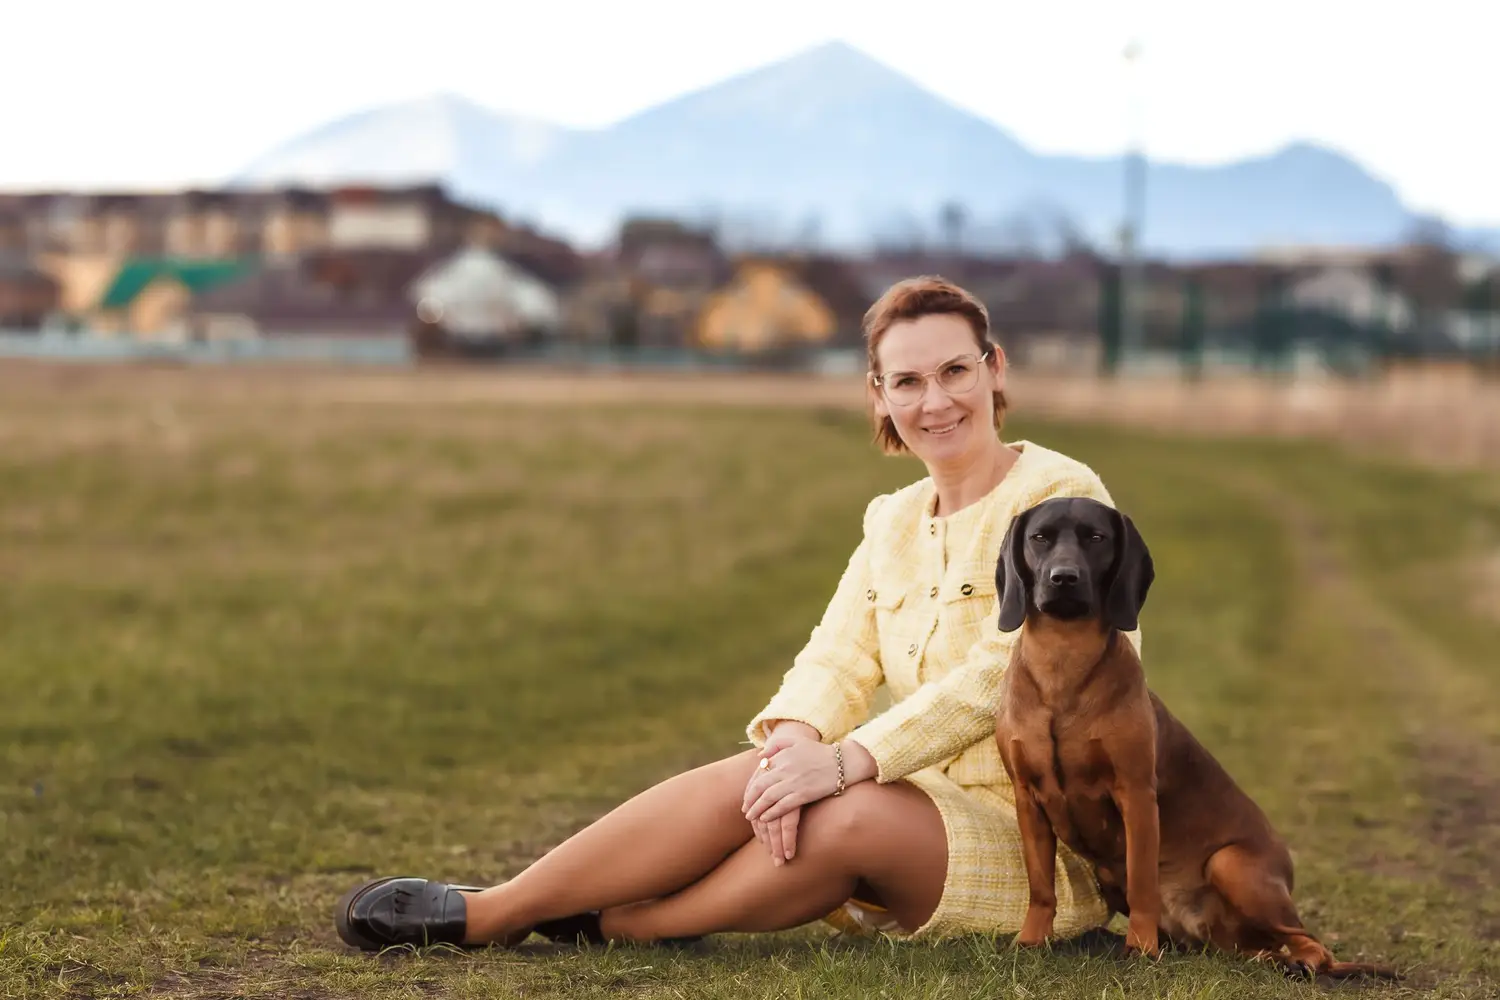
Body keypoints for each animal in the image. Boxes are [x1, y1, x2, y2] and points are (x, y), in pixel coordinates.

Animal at [991, 495, 1397, 980]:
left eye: (1096, 538)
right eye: (1040, 538)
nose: (1064, 577)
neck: (1062, 663)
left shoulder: (1136, 796)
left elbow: (1143, 882)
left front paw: (1141, 947)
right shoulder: (1028, 799)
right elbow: (1041, 888)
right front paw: (1031, 940)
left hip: (1230, 863)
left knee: (1312, 944)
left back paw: (1297, 963)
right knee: (1257, 947)